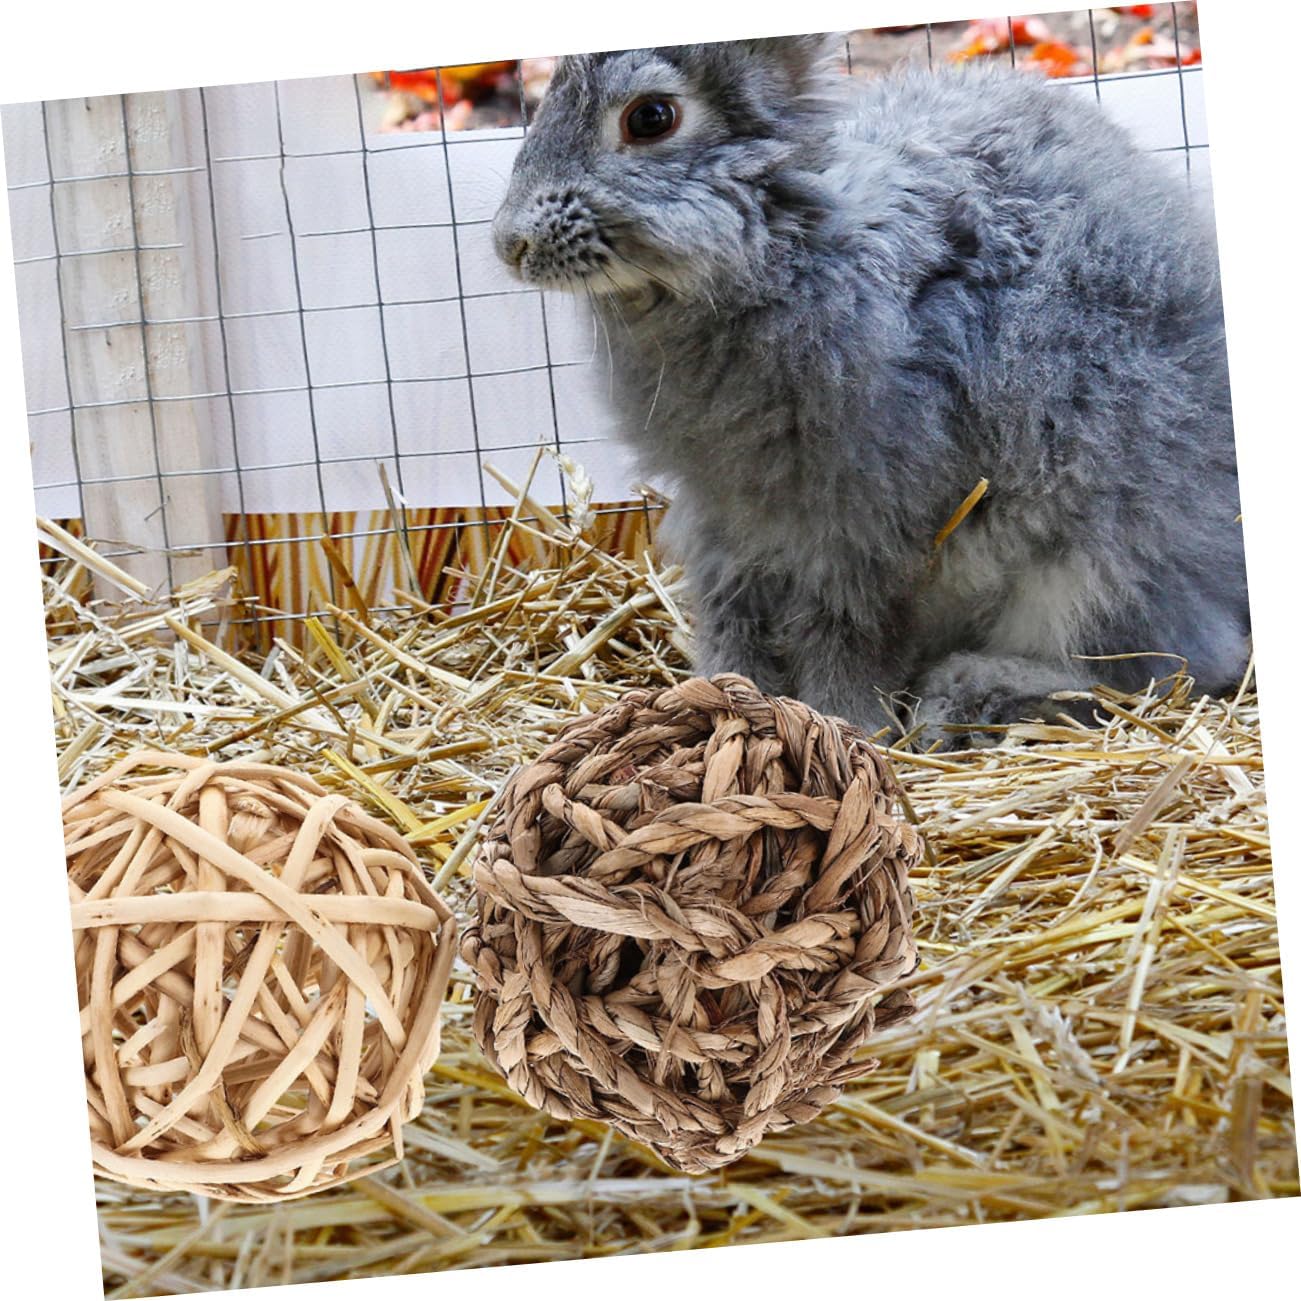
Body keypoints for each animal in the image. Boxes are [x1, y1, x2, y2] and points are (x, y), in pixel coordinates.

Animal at [491, 34, 1249, 746]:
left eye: (651, 117)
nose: (509, 245)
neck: (786, 243)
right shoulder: (726, 519)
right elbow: (734, 614)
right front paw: (724, 695)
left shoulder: (863, 523)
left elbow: (848, 629)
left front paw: (849, 724)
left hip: (1099, 558)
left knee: (1165, 663)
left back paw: (969, 698)